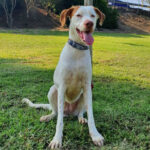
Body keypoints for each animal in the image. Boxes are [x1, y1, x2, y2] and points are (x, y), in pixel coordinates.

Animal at [22, 5, 105, 149]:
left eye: (93, 16)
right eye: (78, 15)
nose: (89, 23)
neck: (77, 50)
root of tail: (69, 112)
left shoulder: (87, 86)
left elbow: (91, 115)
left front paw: (95, 135)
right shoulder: (62, 87)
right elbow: (59, 121)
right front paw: (57, 139)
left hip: (83, 94)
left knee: (80, 112)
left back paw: (81, 118)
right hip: (52, 90)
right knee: (57, 113)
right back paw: (48, 116)